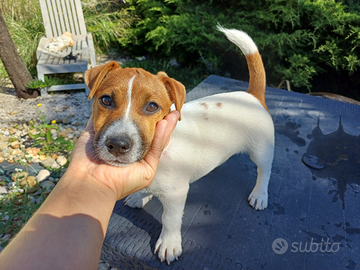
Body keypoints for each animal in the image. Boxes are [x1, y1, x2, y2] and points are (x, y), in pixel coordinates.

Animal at [84, 25, 274, 264]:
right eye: (106, 100)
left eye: (152, 106)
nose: (117, 145)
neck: (163, 150)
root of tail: (253, 96)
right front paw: (140, 195)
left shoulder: (176, 194)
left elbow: (170, 219)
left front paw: (169, 244)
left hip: (261, 150)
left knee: (264, 172)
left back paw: (260, 195)